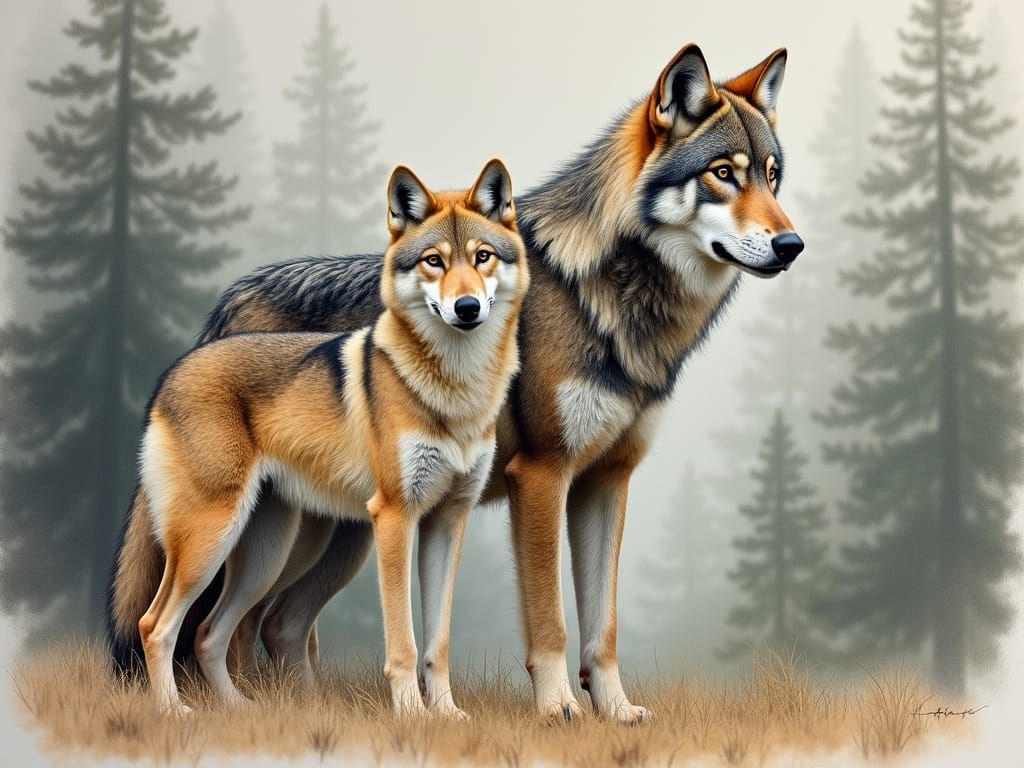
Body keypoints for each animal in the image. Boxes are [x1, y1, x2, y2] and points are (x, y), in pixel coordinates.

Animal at [112, 160, 529, 716]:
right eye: (434, 262)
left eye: (483, 257)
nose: (466, 307)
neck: (455, 391)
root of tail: (174, 370)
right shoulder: (394, 518)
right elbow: (403, 643)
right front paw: (412, 716)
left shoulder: (447, 521)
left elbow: (437, 643)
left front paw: (448, 715)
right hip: (213, 542)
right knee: (155, 625)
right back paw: (175, 713)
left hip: (264, 555)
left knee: (207, 632)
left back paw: (242, 710)